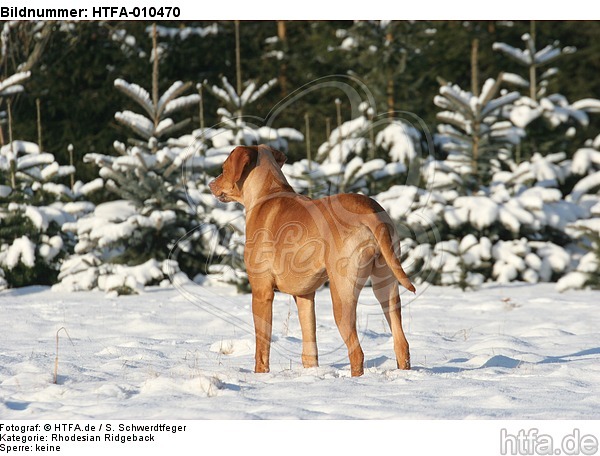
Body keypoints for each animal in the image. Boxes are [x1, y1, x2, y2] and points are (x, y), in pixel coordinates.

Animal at [209, 144, 414, 376]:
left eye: (224, 168)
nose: (210, 184)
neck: (267, 194)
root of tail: (370, 210)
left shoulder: (261, 292)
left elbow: (262, 348)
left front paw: (260, 376)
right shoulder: (305, 296)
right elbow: (309, 349)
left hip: (342, 294)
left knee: (357, 352)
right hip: (387, 286)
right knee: (401, 344)